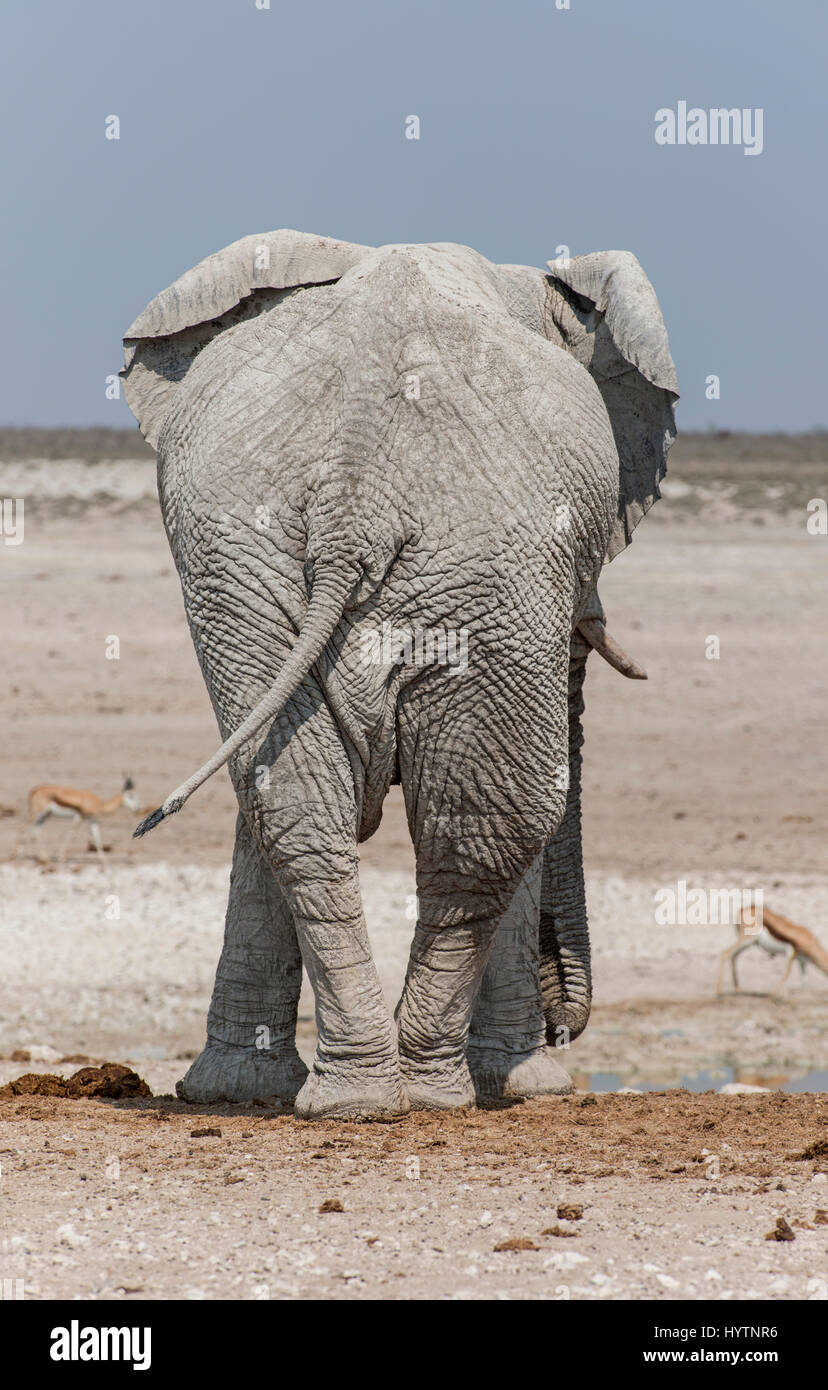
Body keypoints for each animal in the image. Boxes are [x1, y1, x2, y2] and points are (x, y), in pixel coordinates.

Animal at [121, 230, 678, 1119]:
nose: (566, 1027)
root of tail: (358, 492)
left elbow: (267, 781)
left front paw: (234, 1092)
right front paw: (527, 1083)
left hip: (240, 557)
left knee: (293, 801)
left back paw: (353, 1100)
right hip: (492, 566)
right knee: (497, 816)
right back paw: (431, 1094)